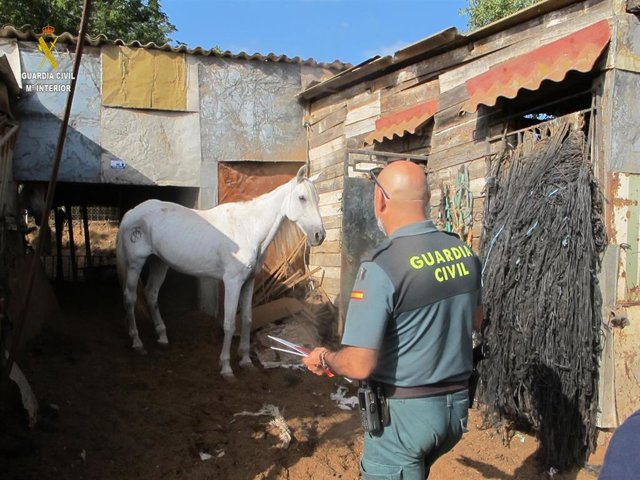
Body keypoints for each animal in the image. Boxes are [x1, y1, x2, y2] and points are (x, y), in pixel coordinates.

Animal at [115, 166, 325, 379]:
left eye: (317, 199)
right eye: (302, 198)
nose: (319, 235)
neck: (248, 229)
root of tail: (132, 213)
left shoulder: (248, 282)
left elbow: (247, 320)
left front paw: (246, 361)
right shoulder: (233, 282)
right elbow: (230, 323)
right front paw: (226, 368)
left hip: (159, 263)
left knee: (151, 294)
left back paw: (162, 337)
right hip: (135, 264)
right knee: (130, 298)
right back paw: (138, 343)